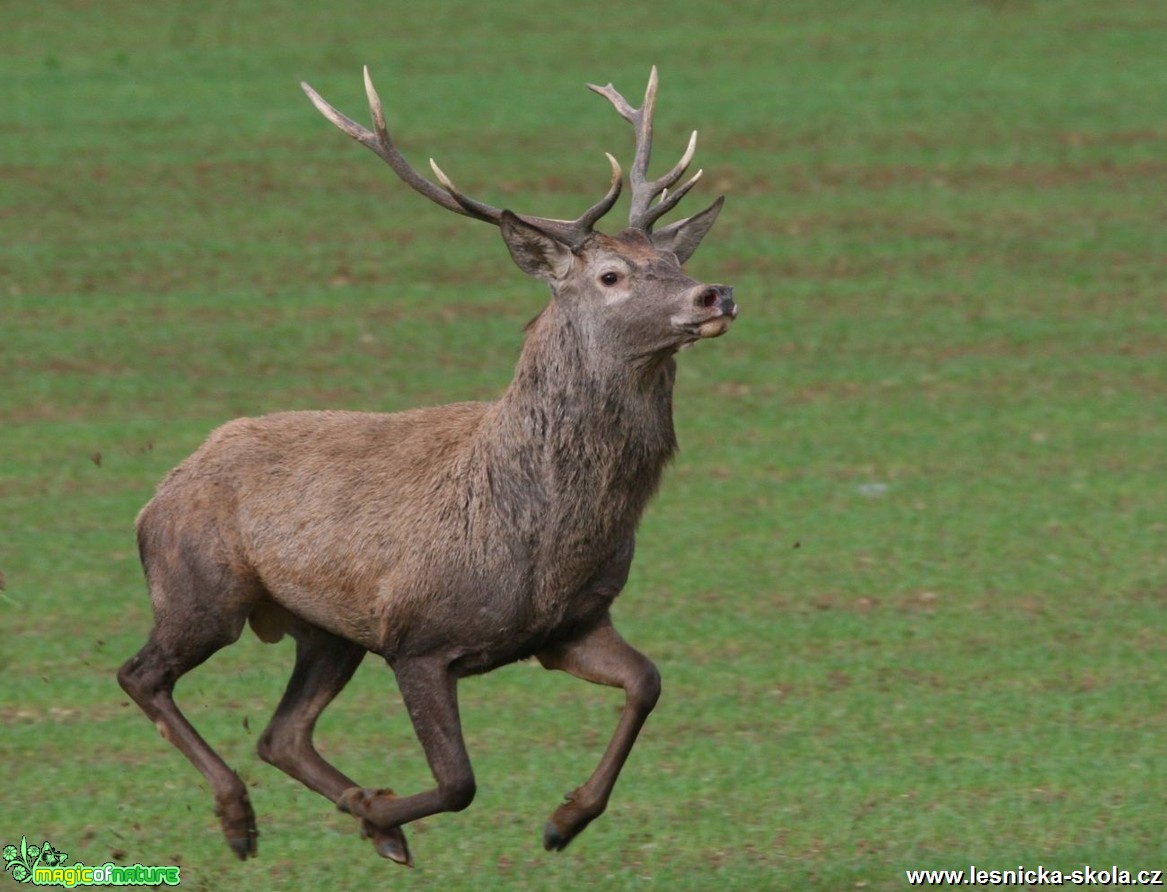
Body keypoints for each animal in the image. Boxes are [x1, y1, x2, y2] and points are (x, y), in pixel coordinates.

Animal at [118, 64, 737, 873]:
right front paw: (378, 813)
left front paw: (561, 820)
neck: (549, 534)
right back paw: (240, 818)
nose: (715, 293)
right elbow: (459, 782)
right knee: (142, 676)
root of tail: (159, 492)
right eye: (610, 275)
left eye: (674, 261)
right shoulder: (418, 639)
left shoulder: (569, 625)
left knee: (281, 733)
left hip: (329, 632)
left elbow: (648, 682)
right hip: (199, 590)